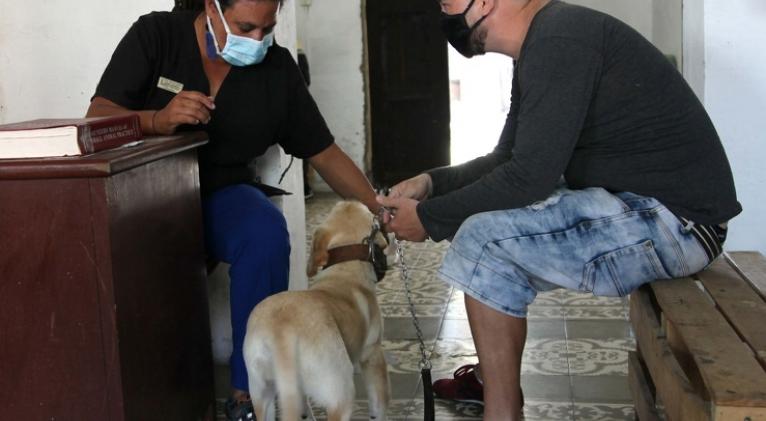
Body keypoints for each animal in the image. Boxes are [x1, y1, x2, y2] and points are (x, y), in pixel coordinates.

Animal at [244, 201, 390, 420]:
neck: (345, 270)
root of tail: (282, 330)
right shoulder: (372, 354)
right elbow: (379, 406)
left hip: (262, 392)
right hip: (340, 392)